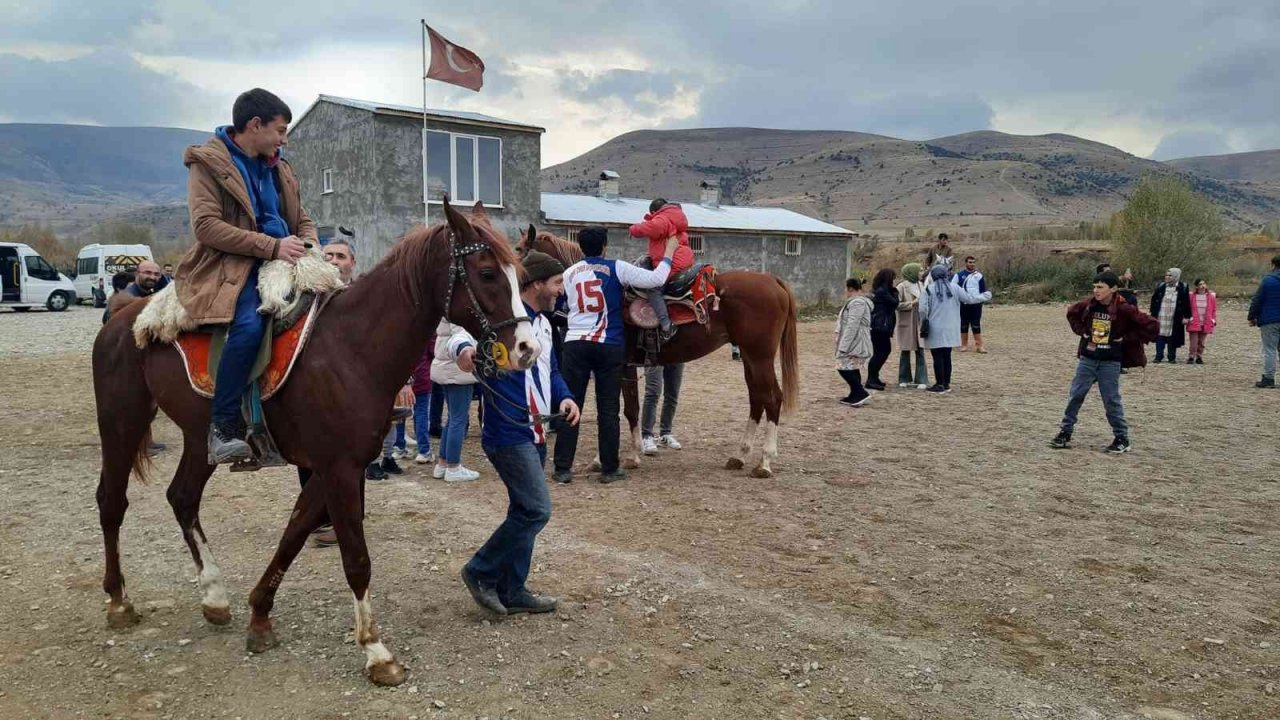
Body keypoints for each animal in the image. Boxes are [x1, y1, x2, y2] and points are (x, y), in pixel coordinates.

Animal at [92, 199, 535, 681]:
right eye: (487, 272)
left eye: (519, 274)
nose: (528, 348)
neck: (352, 348)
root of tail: (120, 323)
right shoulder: (339, 469)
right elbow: (356, 558)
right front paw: (375, 650)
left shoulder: (333, 467)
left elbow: (295, 533)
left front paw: (259, 615)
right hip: (121, 423)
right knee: (112, 502)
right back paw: (118, 601)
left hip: (198, 438)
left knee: (183, 498)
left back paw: (214, 597)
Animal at [512, 230, 793, 476]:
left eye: (518, 250)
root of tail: (772, 280)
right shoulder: (625, 367)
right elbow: (628, 409)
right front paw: (629, 455)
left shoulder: (619, 367)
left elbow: (621, 410)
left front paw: (616, 457)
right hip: (749, 357)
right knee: (757, 398)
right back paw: (740, 455)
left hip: (759, 357)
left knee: (772, 398)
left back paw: (765, 462)